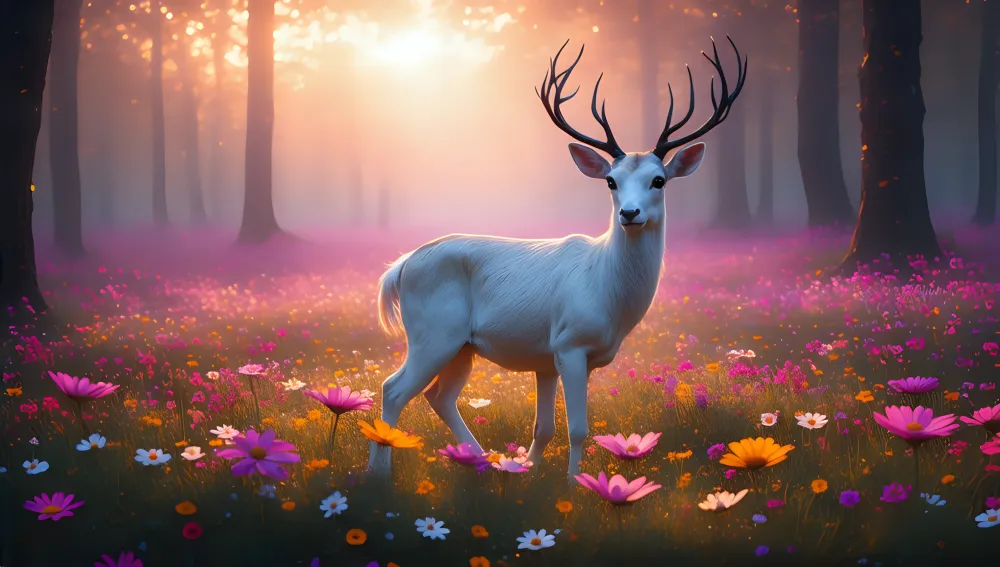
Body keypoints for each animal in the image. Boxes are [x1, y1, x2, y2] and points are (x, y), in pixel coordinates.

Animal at [368, 37, 746, 480]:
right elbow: (577, 428)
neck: (608, 294)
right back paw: (379, 475)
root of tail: (400, 267)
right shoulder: (570, 343)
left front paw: (528, 469)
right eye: (611, 181)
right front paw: (575, 482)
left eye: (659, 180)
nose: (629, 213)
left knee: (438, 396)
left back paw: (484, 460)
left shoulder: (547, 358)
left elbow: (544, 426)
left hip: (461, 346)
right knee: (394, 388)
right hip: (433, 333)